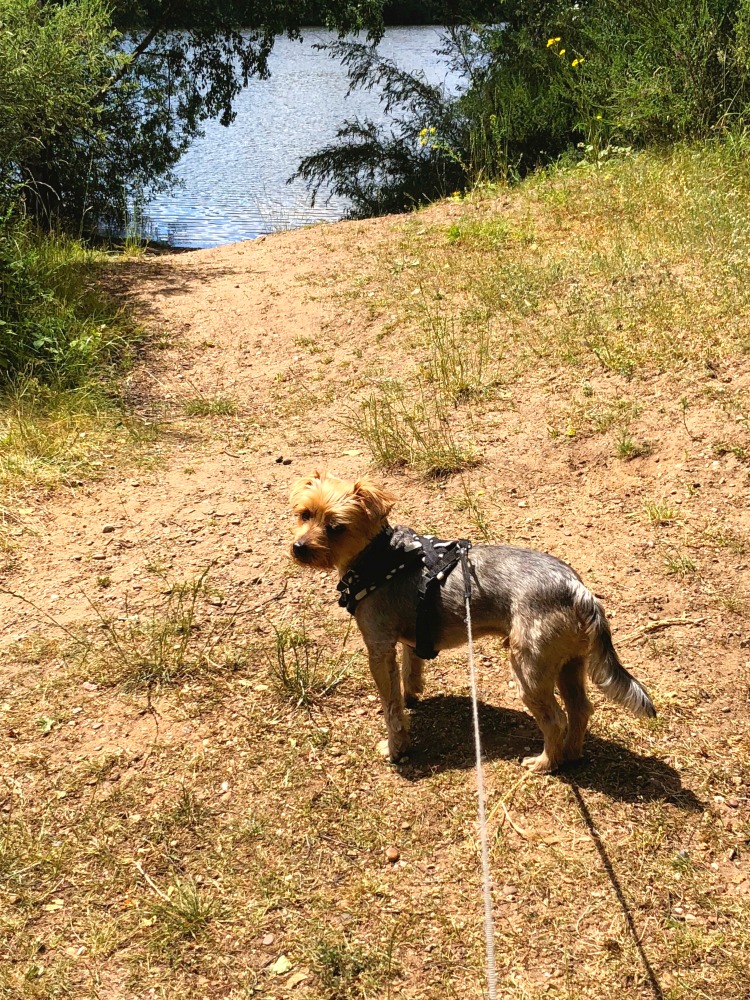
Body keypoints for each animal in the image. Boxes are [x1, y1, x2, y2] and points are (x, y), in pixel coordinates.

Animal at [290, 470, 656, 772]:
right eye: (304, 514)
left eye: (336, 528)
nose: (298, 547)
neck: (380, 557)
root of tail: (578, 590)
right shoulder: (408, 638)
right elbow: (410, 672)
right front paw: (412, 697)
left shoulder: (378, 648)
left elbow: (390, 708)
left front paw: (396, 748)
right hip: (568, 663)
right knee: (580, 709)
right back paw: (571, 754)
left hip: (529, 669)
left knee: (556, 720)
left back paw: (544, 763)